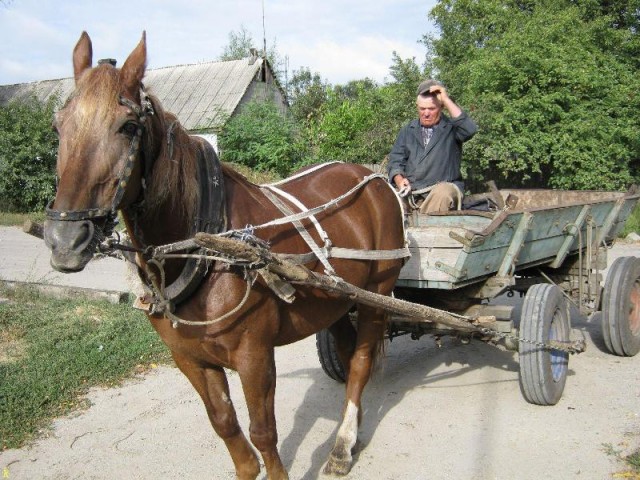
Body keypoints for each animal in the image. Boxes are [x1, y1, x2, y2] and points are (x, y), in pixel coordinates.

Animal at [43, 31, 404, 478]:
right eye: (58, 126)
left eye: (128, 127)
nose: (64, 239)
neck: (208, 248)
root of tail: (375, 179)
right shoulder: (189, 359)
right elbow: (226, 426)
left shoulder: (254, 357)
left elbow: (263, 432)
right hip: (336, 298)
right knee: (347, 347)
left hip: (376, 295)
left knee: (361, 362)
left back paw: (341, 445)